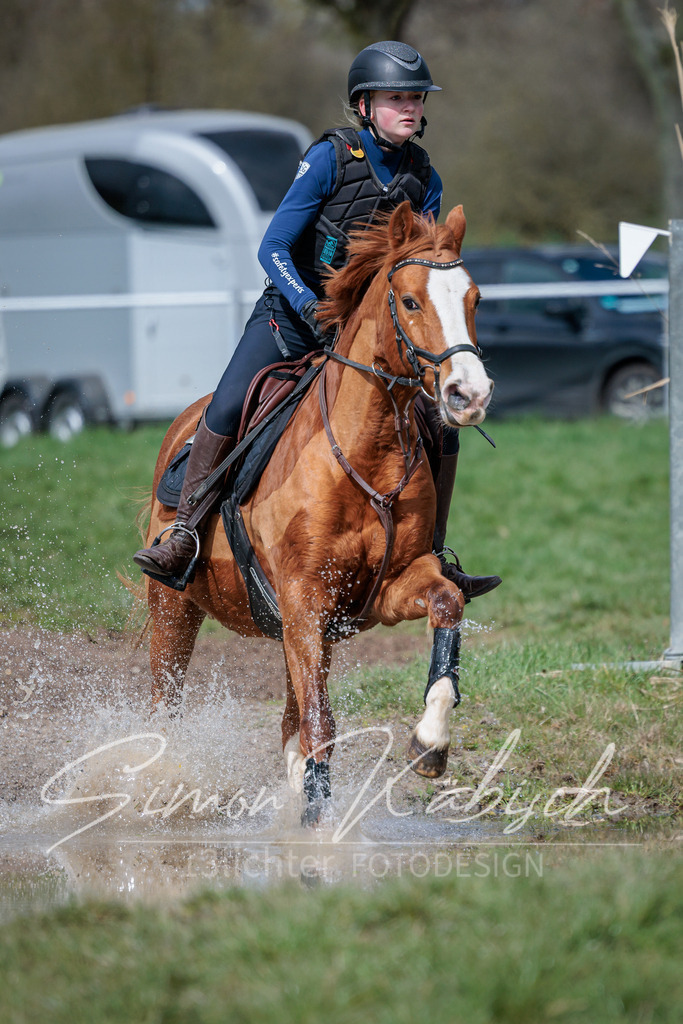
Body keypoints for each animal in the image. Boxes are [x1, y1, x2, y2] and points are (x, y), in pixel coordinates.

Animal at [140, 201, 493, 822]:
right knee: (168, 702)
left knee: (290, 717)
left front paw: (430, 742)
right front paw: (317, 829)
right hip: (175, 607)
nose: (469, 395)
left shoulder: (388, 588)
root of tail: (182, 423)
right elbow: (321, 727)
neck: (365, 452)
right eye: (410, 302)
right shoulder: (304, 599)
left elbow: (447, 604)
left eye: (473, 299)